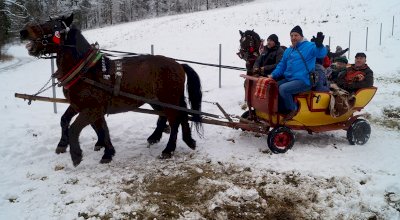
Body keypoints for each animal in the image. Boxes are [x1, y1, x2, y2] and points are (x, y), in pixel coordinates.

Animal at [19, 13, 202, 166]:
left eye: (54, 26)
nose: (23, 32)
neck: (86, 71)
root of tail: (178, 64)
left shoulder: (91, 109)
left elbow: (75, 128)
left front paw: (76, 155)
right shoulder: (81, 106)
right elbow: (86, 125)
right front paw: (106, 151)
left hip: (168, 99)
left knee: (175, 120)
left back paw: (169, 149)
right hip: (159, 100)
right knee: (175, 116)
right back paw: (176, 139)